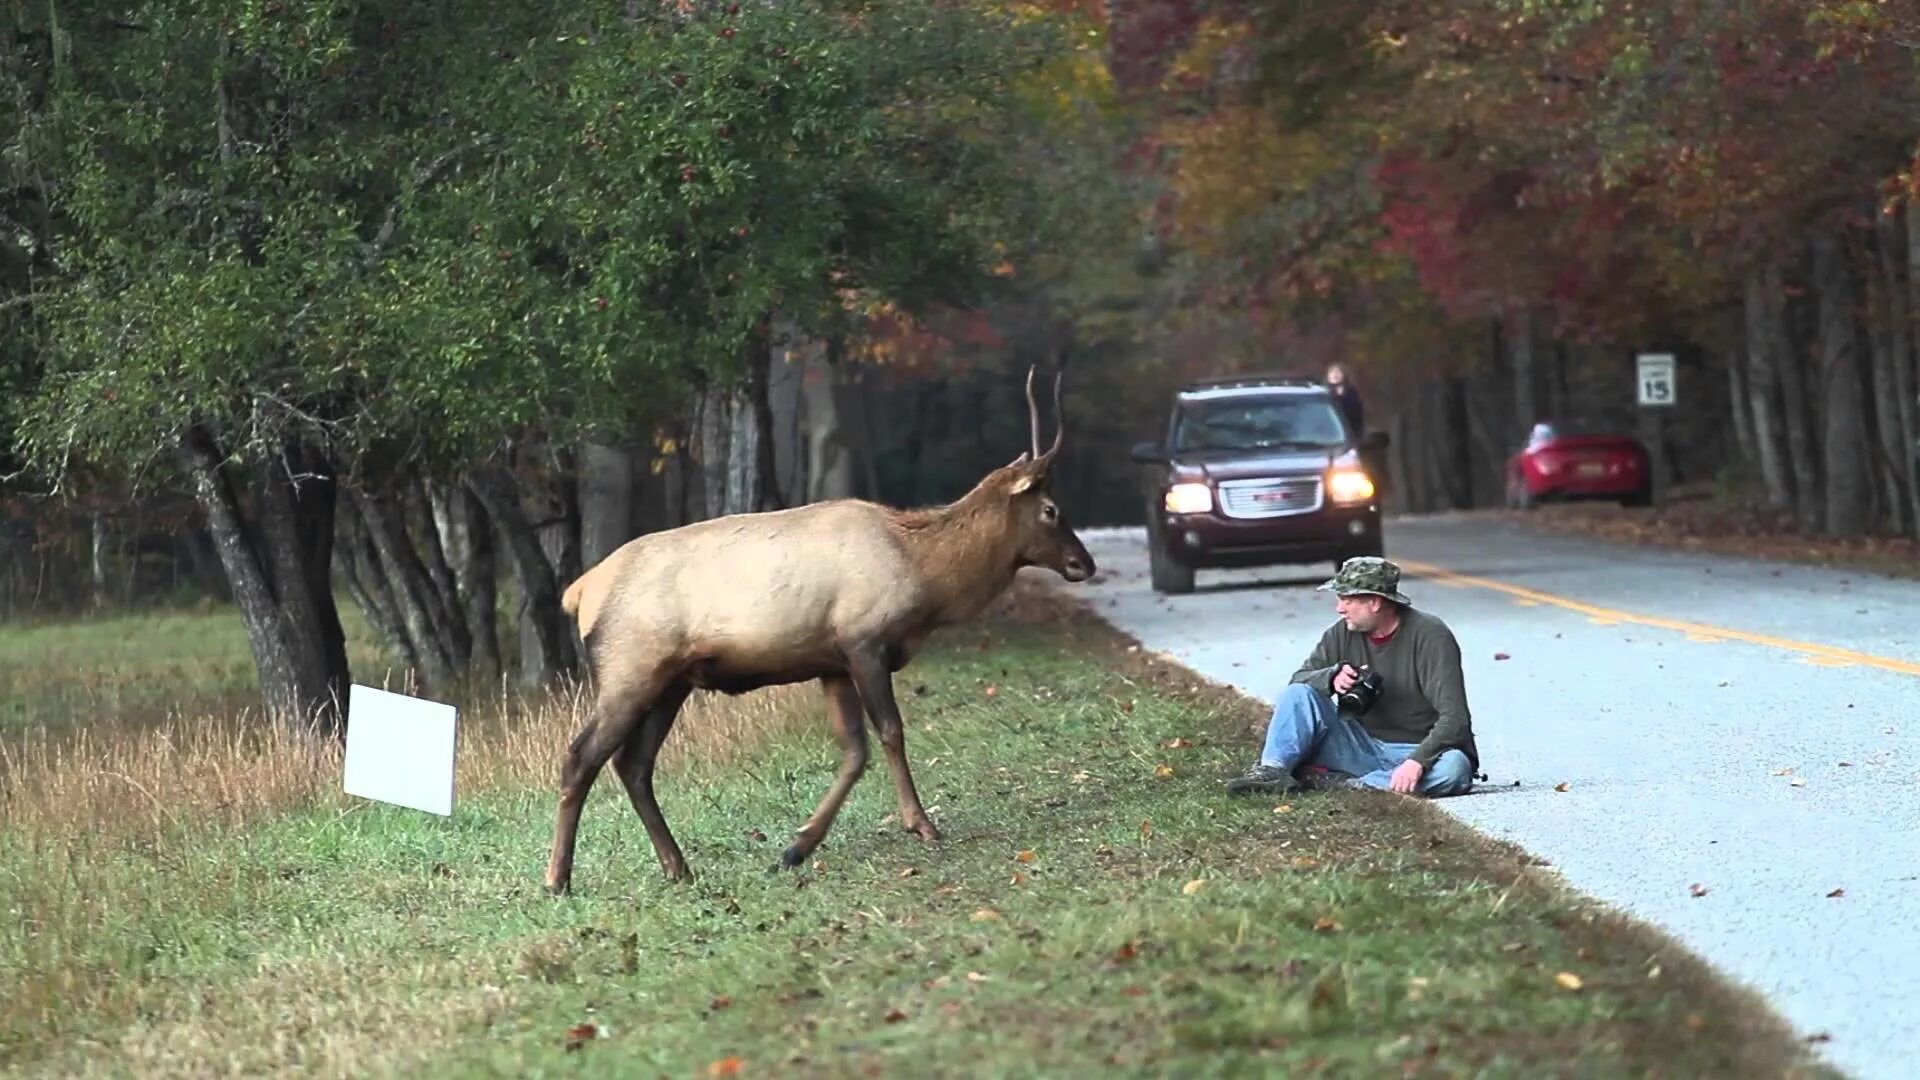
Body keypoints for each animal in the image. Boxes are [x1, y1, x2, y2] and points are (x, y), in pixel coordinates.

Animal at [549, 365, 1105, 887]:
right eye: (1051, 509)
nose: (1084, 564)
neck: (926, 577)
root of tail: (579, 593)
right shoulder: (865, 640)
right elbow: (891, 732)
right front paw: (921, 824)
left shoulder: (831, 662)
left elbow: (854, 751)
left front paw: (796, 847)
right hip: (630, 668)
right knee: (581, 755)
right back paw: (559, 878)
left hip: (671, 682)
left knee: (633, 765)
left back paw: (677, 866)